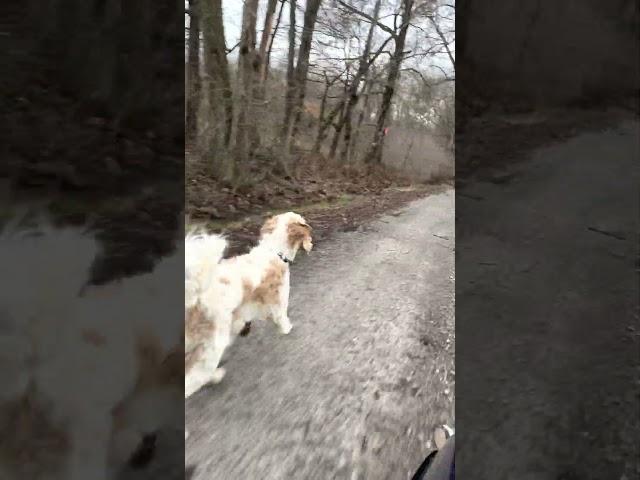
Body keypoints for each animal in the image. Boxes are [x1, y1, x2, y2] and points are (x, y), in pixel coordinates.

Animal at [184, 211, 314, 398]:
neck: (274, 252)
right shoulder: (279, 301)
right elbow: (281, 318)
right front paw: (287, 328)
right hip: (213, 344)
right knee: (193, 378)